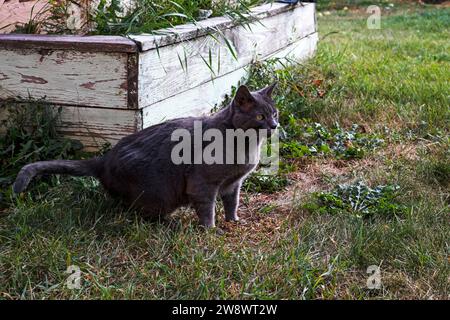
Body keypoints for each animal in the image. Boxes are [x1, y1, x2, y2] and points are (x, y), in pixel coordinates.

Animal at [12, 84, 278, 226]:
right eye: (260, 117)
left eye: (274, 113)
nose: (274, 125)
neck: (246, 146)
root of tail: (104, 160)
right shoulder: (202, 183)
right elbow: (207, 208)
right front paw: (211, 229)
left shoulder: (234, 183)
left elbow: (232, 202)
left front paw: (233, 221)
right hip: (157, 192)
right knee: (134, 210)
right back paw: (169, 222)